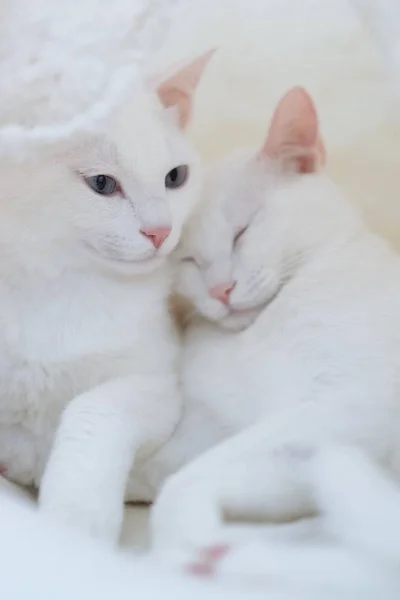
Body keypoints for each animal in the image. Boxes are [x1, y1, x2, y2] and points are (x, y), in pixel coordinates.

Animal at [0, 50, 216, 544]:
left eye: (176, 177)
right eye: (102, 184)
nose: (160, 230)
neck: (60, 288)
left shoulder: (156, 384)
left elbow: (93, 411)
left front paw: (75, 524)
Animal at [148, 85, 400, 556]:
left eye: (242, 231)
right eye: (188, 260)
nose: (220, 290)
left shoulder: (349, 403)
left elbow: (183, 482)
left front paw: (190, 539)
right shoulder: (208, 426)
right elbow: (158, 470)